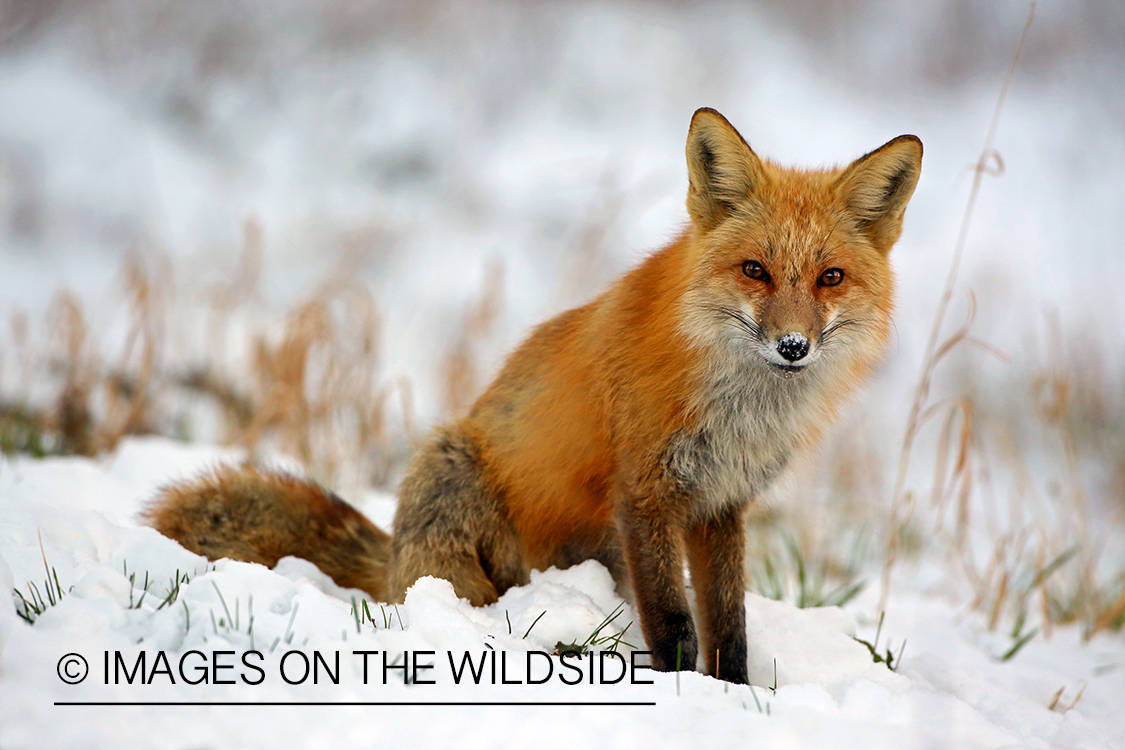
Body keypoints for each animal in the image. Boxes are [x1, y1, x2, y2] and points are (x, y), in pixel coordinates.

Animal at [146, 108, 922, 684]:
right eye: (755, 270)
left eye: (829, 277)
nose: (793, 347)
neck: (740, 410)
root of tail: (393, 559)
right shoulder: (644, 493)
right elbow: (674, 623)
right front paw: (684, 691)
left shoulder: (719, 504)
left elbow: (727, 625)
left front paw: (734, 694)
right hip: (452, 469)